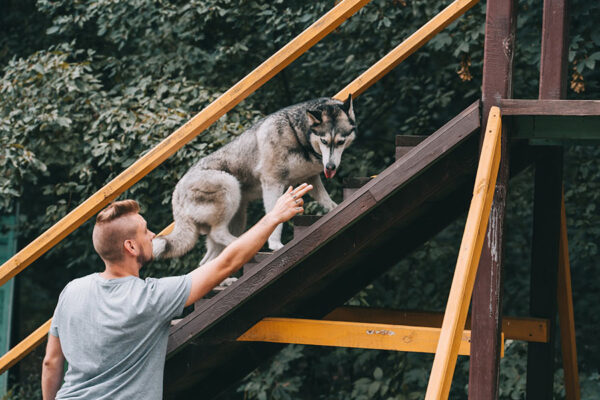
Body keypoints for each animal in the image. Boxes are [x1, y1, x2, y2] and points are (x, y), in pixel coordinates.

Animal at [152, 95, 356, 264]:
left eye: (340, 142)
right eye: (324, 141)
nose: (330, 167)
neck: (298, 135)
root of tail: (176, 193)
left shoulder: (311, 178)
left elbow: (328, 202)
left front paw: (336, 208)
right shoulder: (272, 182)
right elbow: (275, 218)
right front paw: (275, 244)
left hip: (238, 215)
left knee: (207, 262)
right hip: (230, 186)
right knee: (219, 234)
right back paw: (245, 243)